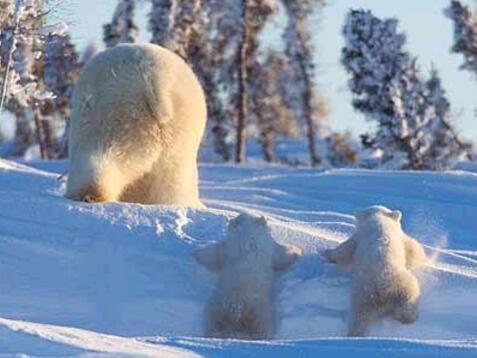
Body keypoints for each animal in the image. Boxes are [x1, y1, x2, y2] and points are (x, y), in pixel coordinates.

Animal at [64, 44, 205, 207]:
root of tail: (152, 79)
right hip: (171, 128)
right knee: (172, 181)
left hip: (112, 116)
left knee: (102, 153)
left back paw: (89, 195)